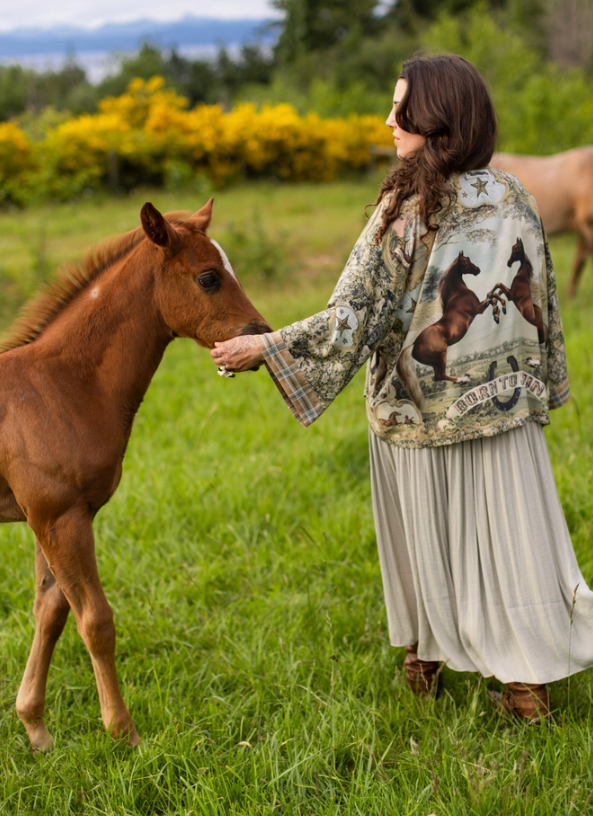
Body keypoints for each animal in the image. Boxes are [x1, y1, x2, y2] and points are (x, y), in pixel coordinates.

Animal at [0, 199, 271, 751]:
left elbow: (50, 611)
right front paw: (124, 734)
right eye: (209, 277)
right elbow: (95, 620)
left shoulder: (47, 518)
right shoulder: (61, 517)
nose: (258, 334)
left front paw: (35, 728)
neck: (61, 384)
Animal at [397, 251, 496, 409]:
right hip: (441, 357)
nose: (478, 270)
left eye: (469, 259)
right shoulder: (479, 308)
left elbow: (492, 295)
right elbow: (492, 295)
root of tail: (413, 345)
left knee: (438, 376)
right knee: (440, 376)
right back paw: (464, 379)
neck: (458, 294)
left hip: (434, 362)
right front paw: (497, 311)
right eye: (465, 263)